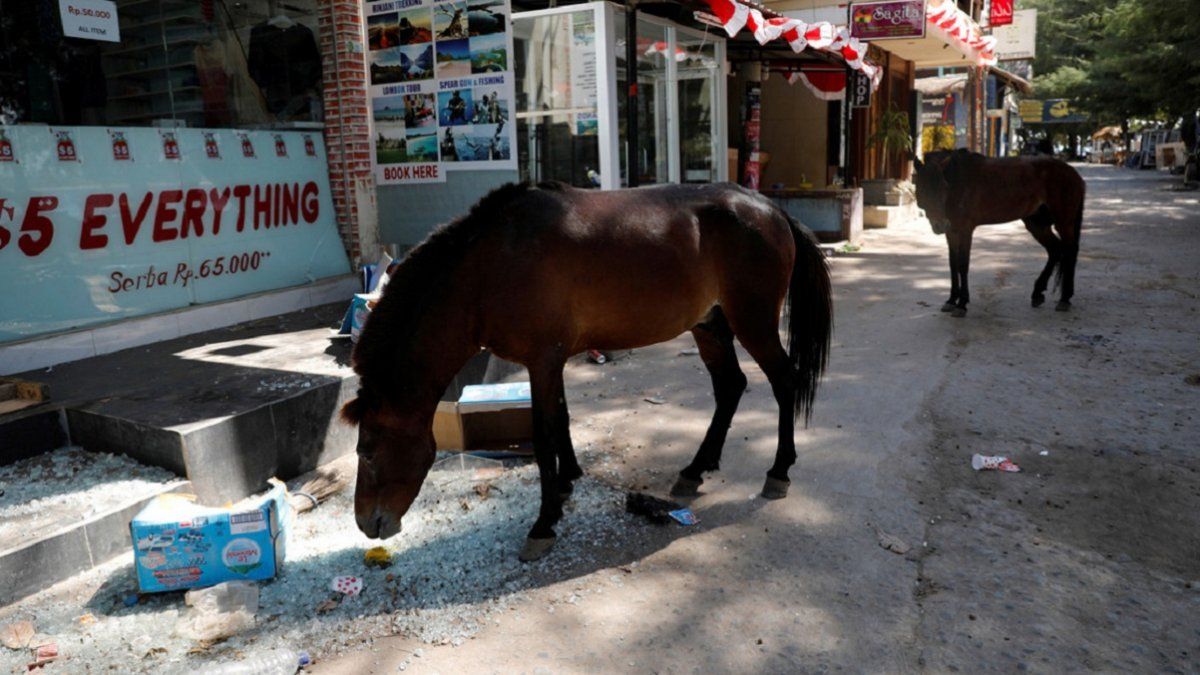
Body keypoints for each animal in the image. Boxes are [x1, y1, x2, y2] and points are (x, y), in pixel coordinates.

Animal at [340, 181, 833, 561]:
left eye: (368, 451)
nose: (367, 522)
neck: (491, 264)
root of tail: (772, 210)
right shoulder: (552, 361)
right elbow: (561, 419)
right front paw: (566, 485)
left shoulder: (541, 360)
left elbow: (543, 437)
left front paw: (543, 523)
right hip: (709, 325)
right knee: (730, 387)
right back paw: (695, 469)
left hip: (752, 322)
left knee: (784, 382)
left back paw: (778, 472)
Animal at [913, 149, 1086, 316]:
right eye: (923, 189)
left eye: (944, 187)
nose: (940, 225)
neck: (958, 181)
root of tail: (1073, 173)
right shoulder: (952, 232)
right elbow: (952, 264)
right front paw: (951, 300)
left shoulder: (965, 230)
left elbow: (963, 264)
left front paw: (962, 304)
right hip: (1036, 224)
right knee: (1055, 250)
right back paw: (1038, 293)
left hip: (1064, 223)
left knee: (1070, 251)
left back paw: (1065, 298)